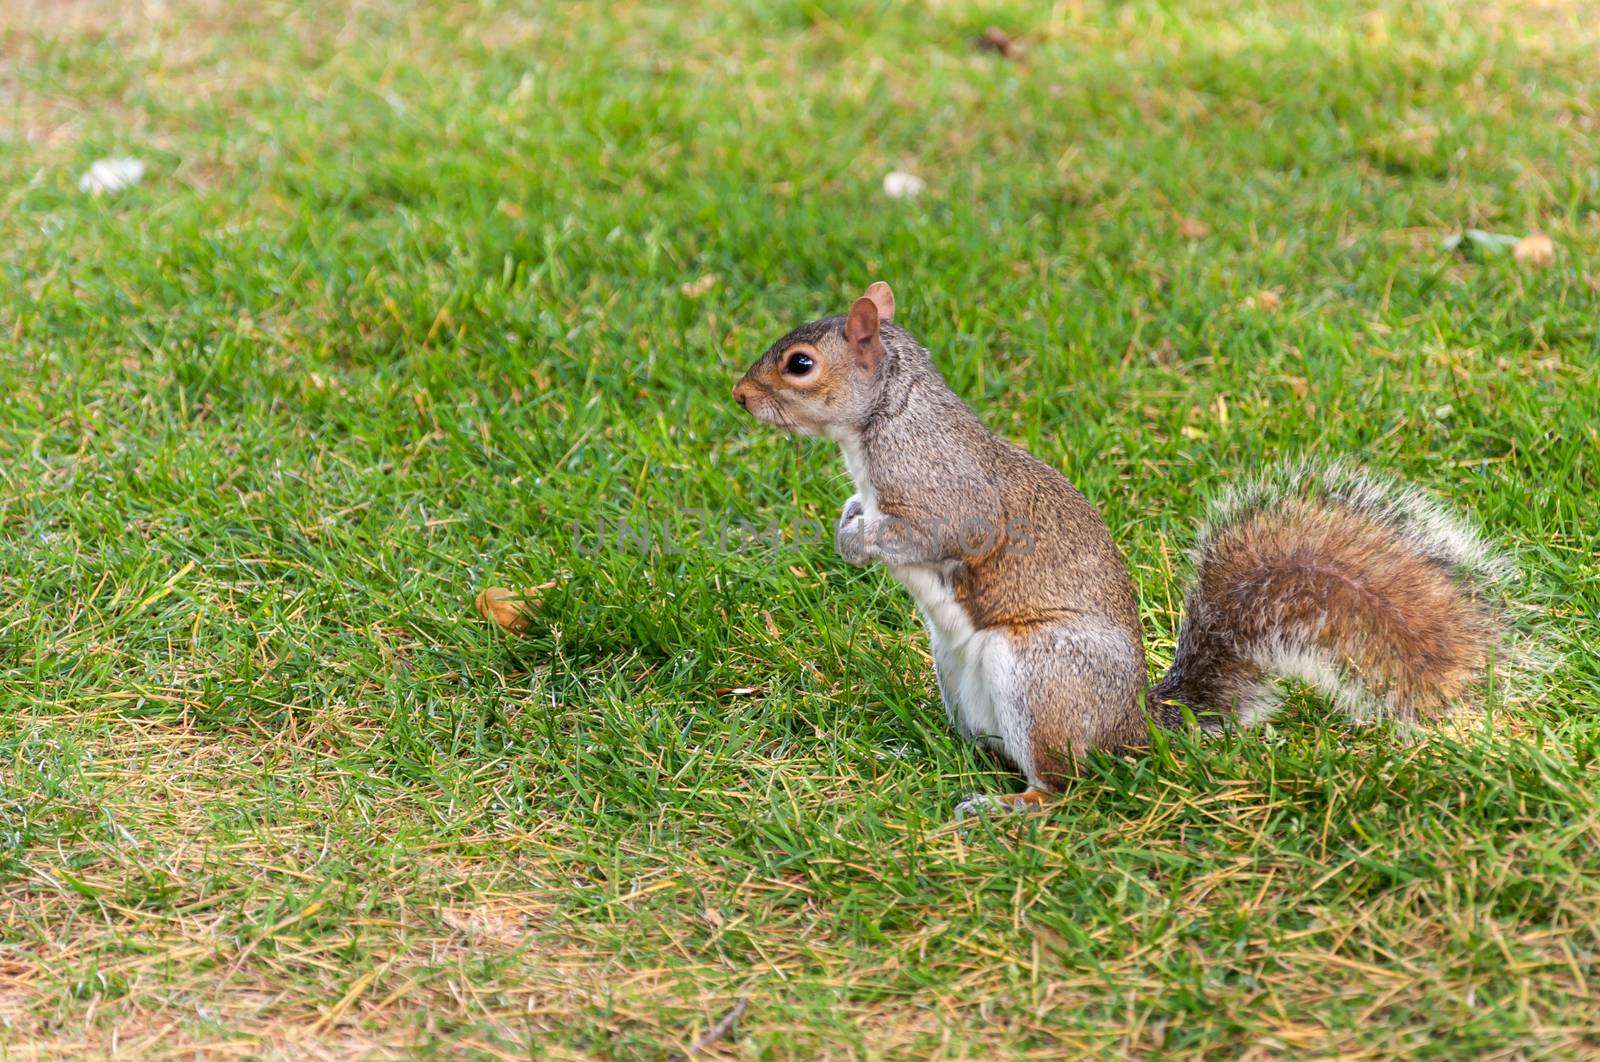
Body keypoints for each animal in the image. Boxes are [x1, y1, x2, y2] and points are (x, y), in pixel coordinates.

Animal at [732, 279, 1516, 812]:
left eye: (799, 364)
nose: (738, 396)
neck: (883, 421)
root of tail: (1130, 728)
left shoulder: (948, 495)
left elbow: (934, 531)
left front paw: (859, 543)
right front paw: (846, 523)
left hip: (1042, 674)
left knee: (1061, 785)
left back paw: (1008, 805)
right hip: (960, 678)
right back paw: (921, 746)